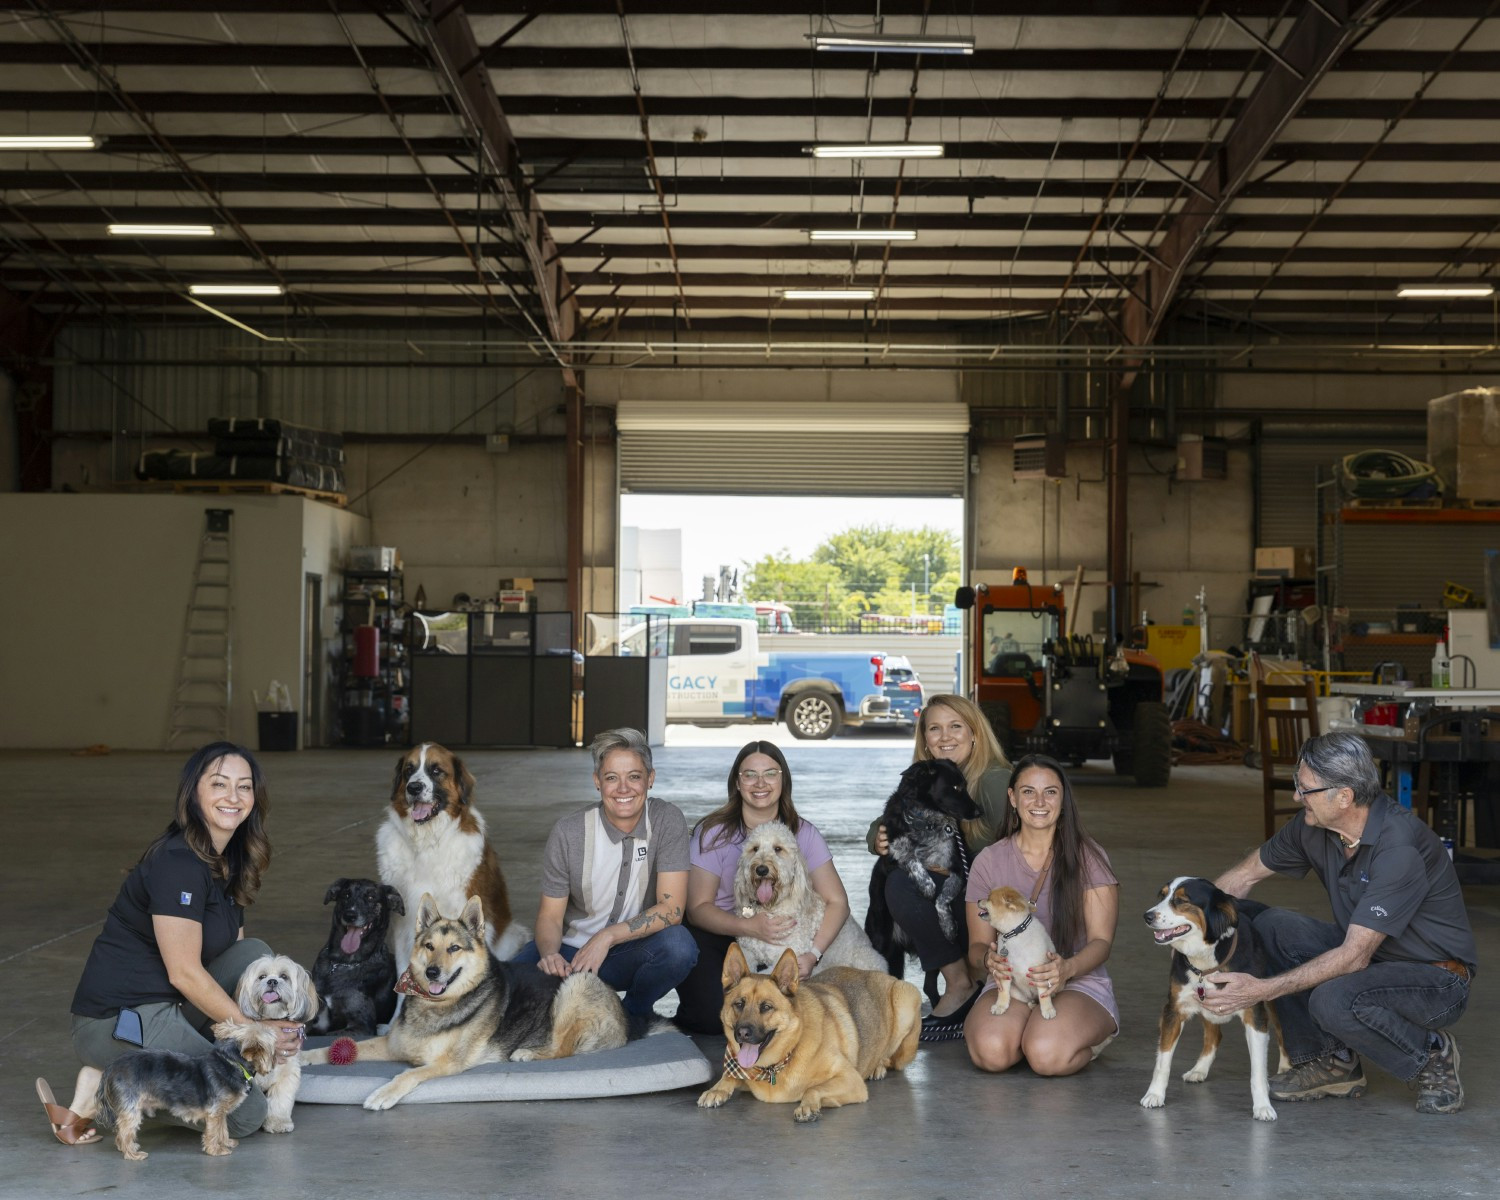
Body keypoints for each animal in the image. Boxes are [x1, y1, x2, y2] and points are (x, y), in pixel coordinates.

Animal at [94, 1020, 282, 1158]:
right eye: (274, 1049)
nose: (279, 1058)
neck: (233, 1063)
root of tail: (110, 1068)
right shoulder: (215, 1111)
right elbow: (214, 1131)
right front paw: (216, 1150)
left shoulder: (220, 1112)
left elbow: (223, 1128)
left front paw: (226, 1142)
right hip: (131, 1107)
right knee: (125, 1131)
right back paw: (132, 1154)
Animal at [234, 954, 319, 1128]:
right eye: (262, 977)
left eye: (284, 977)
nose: (272, 981)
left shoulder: (287, 1074)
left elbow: (280, 1100)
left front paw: (278, 1122)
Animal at [309, 876, 405, 1038]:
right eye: (346, 895)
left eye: (371, 897)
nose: (350, 915)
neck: (342, 962)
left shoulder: (362, 1027)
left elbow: (327, 1035)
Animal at [864, 759, 978, 1002]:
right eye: (956, 787)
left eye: (965, 785)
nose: (978, 811)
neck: (928, 820)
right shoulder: (892, 857)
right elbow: (911, 859)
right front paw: (926, 886)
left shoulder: (959, 866)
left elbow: (944, 895)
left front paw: (948, 925)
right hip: (882, 943)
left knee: (929, 987)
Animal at [1140, 876, 1284, 1122]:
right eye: (1162, 896)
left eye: (1181, 900)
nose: (1147, 916)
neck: (1205, 963)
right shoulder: (1174, 1009)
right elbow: (1163, 1061)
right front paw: (1155, 1094)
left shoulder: (1254, 1012)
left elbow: (1257, 1070)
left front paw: (1263, 1105)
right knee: (1214, 1035)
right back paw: (1200, 1069)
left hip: (1273, 999)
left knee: (1282, 1032)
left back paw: (1286, 1068)